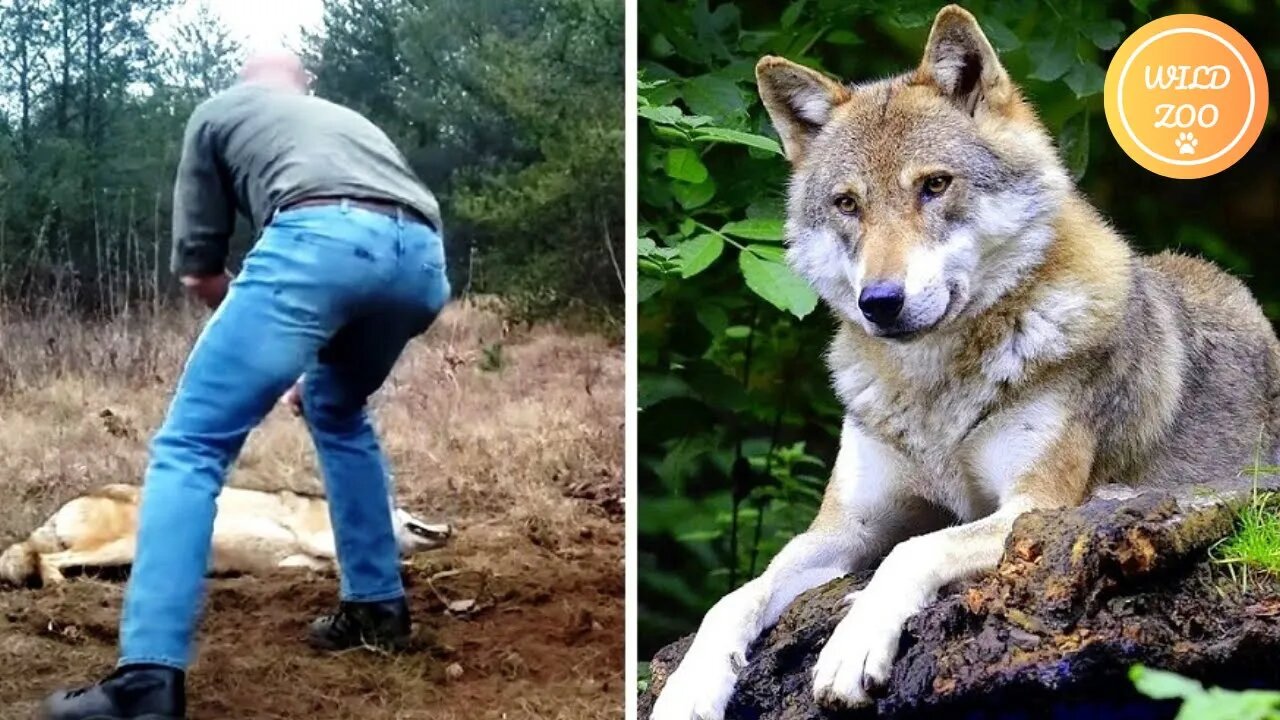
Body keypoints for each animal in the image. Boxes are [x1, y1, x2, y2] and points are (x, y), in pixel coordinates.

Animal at [650, 2, 1280, 712]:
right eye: (848, 204)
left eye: (934, 186)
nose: (880, 301)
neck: (934, 392)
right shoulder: (844, 528)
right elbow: (735, 597)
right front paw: (688, 688)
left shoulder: (1036, 509)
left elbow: (913, 550)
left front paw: (851, 647)